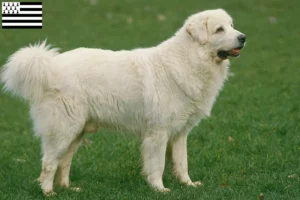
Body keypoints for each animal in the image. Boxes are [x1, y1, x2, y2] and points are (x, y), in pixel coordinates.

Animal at [0, 8, 246, 195]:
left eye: (231, 25)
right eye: (219, 29)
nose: (243, 37)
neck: (190, 59)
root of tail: (49, 66)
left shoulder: (179, 134)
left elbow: (181, 163)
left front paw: (188, 185)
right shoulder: (157, 133)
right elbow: (158, 165)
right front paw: (159, 189)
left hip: (77, 133)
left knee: (64, 162)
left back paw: (68, 189)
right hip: (63, 130)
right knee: (49, 162)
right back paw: (48, 192)